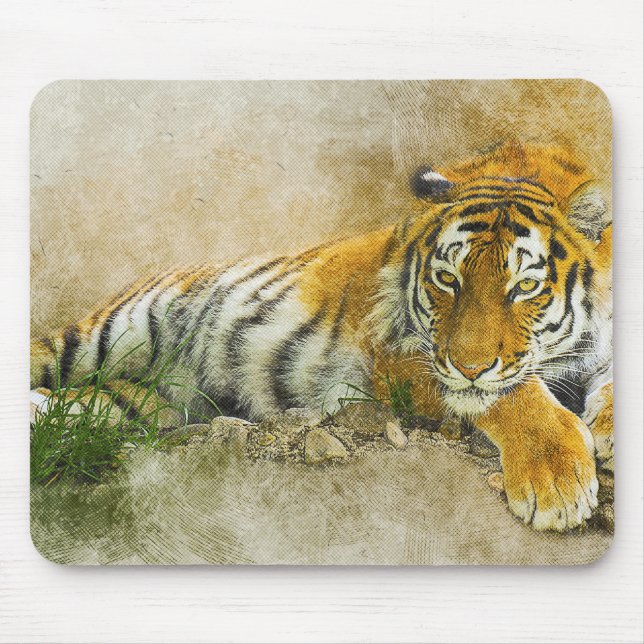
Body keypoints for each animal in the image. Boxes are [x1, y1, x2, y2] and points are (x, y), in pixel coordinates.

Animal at [31, 142, 613, 532]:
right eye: (448, 279)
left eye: (525, 286)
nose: (469, 366)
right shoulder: (403, 355)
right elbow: (511, 395)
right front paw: (556, 481)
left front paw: (604, 431)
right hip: (105, 335)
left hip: (147, 404)